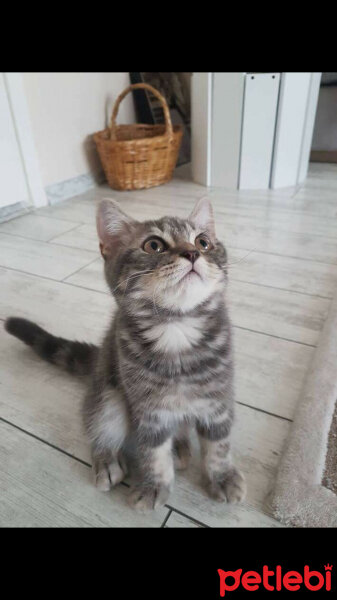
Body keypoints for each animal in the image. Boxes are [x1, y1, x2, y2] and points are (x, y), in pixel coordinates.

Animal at [4, 198, 244, 510]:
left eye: (203, 242)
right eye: (154, 245)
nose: (192, 252)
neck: (177, 327)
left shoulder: (218, 398)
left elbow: (219, 442)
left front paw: (222, 476)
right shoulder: (146, 406)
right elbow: (152, 449)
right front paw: (154, 485)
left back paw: (180, 445)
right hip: (108, 391)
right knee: (99, 421)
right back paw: (106, 459)